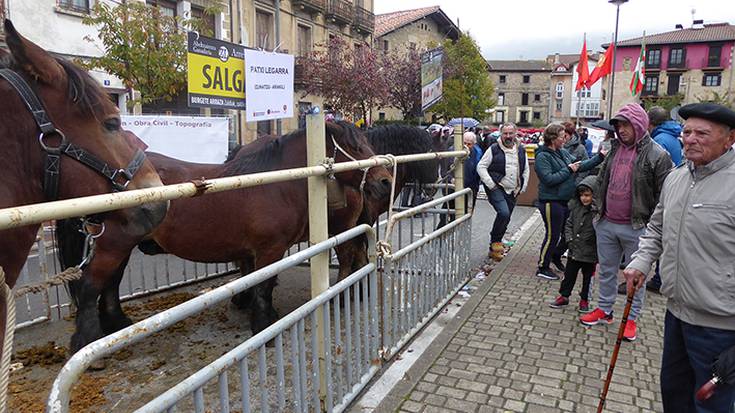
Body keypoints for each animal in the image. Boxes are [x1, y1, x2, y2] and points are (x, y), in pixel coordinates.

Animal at [57, 119, 394, 348]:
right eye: (355, 147)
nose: (385, 181)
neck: (278, 182)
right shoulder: (268, 249)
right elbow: (262, 286)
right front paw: (263, 326)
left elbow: (259, 282)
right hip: (113, 245)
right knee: (90, 286)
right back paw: (86, 343)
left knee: (109, 284)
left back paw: (115, 325)